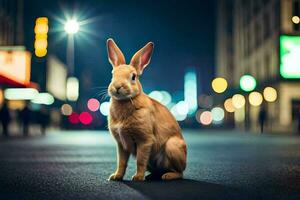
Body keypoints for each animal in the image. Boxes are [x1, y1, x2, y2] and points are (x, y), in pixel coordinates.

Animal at [106, 38, 186, 180]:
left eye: (133, 77)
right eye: (113, 74)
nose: (117, 87)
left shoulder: (145, 141)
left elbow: (140, 160)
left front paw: (137, 178)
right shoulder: (121, 144)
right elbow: (121, 162)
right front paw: (116, 177)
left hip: (172, 147)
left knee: (180, 172)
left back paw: (167, 176)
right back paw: (151, 176)